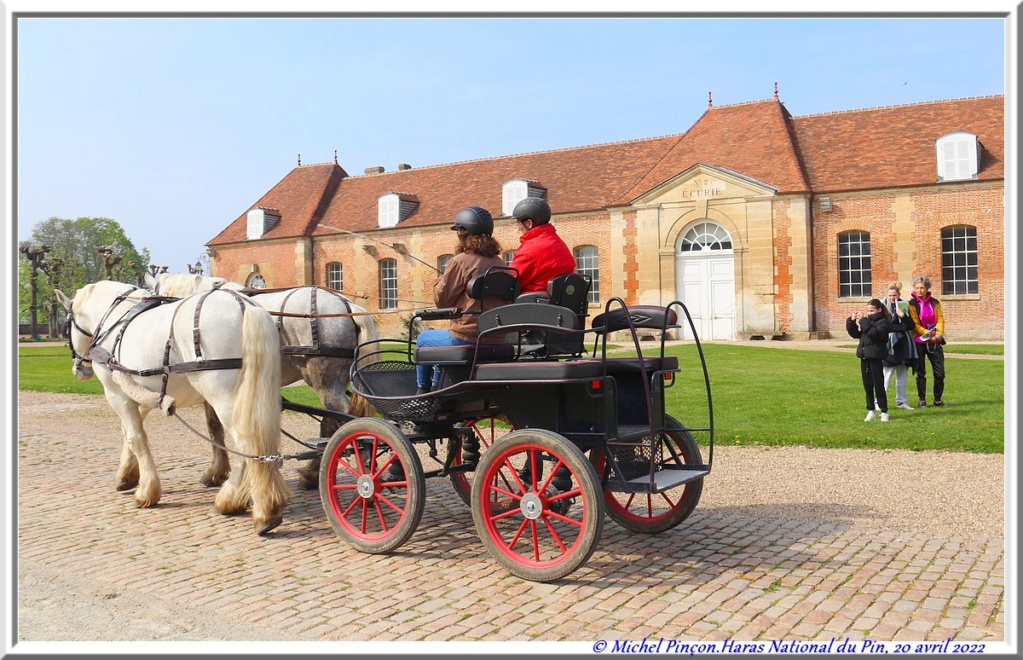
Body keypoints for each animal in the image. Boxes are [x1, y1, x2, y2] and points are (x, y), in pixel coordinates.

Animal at [56, 278, 290, 536]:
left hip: (223, 395)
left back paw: (255, 508)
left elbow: (136, 437)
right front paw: (127, 474)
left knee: (245, 444)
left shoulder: (116, 393)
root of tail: (244, 304)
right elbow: (128, 433)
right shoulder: (141, 392)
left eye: (66, 325)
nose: (79, 369)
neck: (115, 319)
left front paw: (146, 491)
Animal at [148, 272, 380, 489]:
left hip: (326, 382)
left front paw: (215, 472)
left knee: (340, 420)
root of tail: (346, 304)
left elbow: (214, 427)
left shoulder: (212, 381)